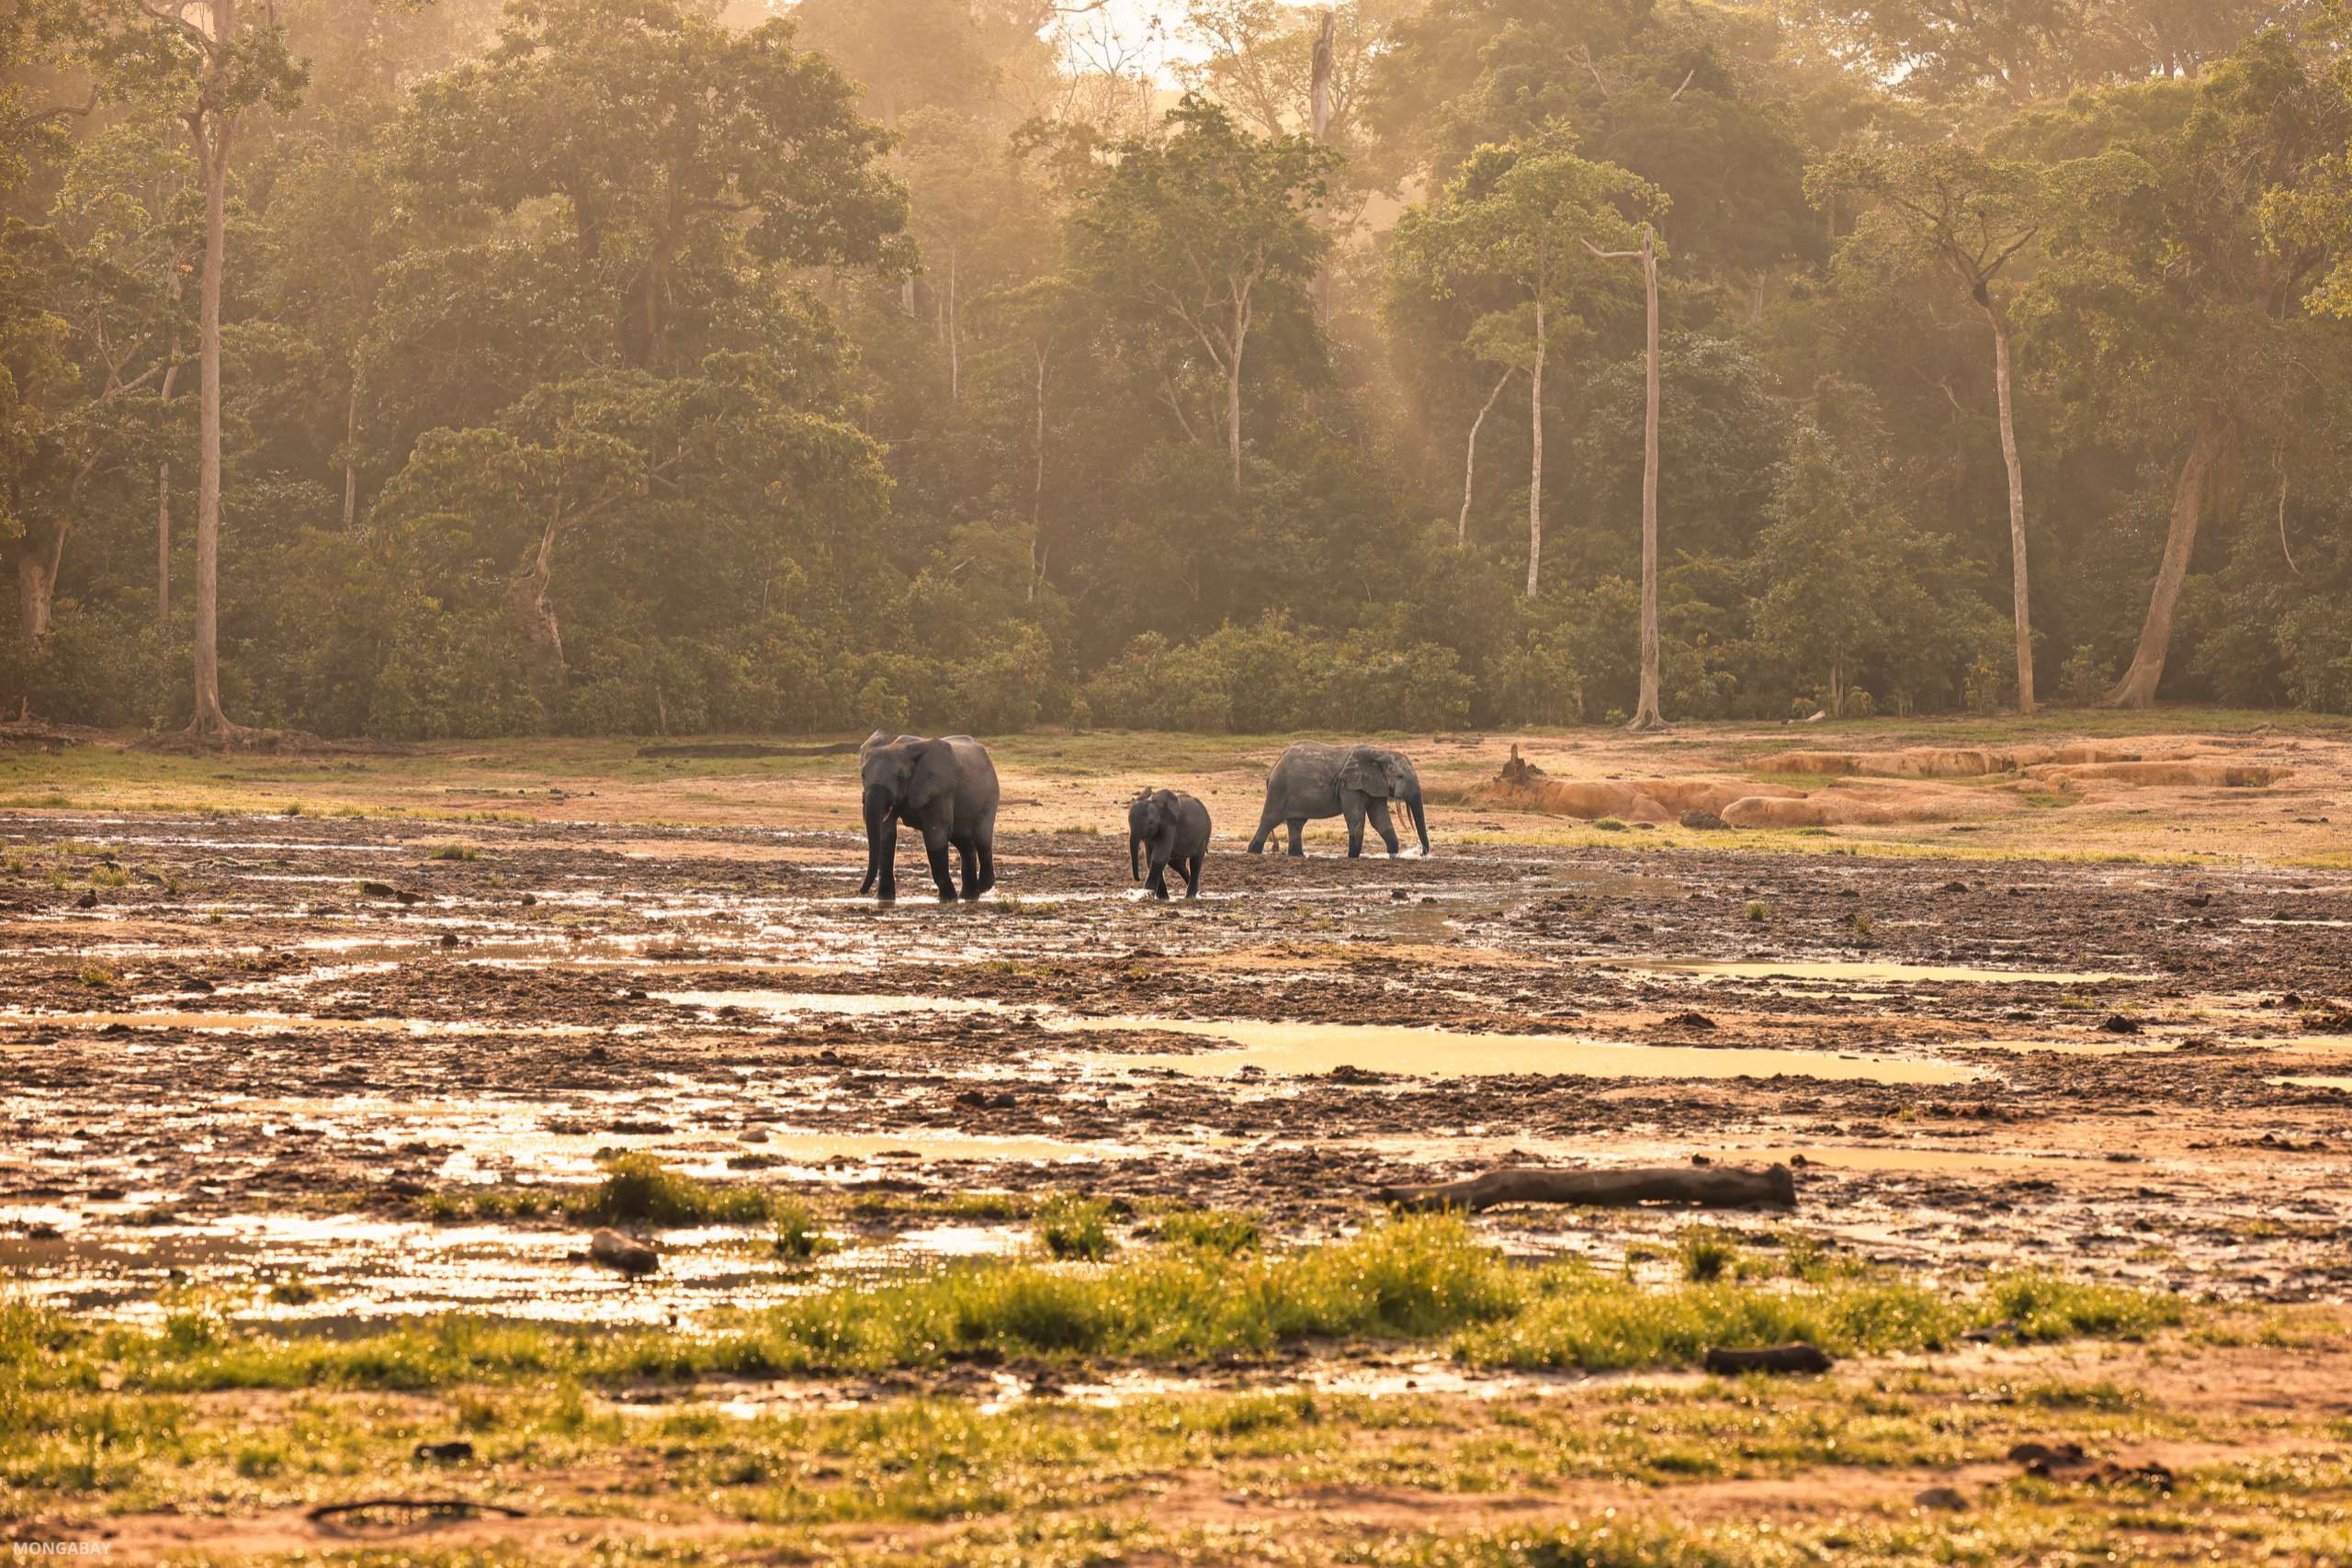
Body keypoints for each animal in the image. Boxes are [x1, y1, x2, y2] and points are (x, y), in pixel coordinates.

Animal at [856, 730, 1000, 902]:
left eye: (899, 777)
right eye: (863, 775)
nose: (861, 891)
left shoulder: (940, 791)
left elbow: (935, 834)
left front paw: (948, 899)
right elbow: (886, 835)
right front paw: (884, 899)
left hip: (991, 794)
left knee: (982, 838)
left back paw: (982, 887)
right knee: (962, 840)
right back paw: (969, 895)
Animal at [1246, 741, 1429, 858]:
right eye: (1400, 776)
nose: (1422, 853)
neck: (1380, 753)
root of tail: (1274, 767)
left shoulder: (1375, 785)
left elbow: (1380, 820)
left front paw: (1392, 854)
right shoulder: (1349, 785)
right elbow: (1355, 818)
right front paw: (1352, 857)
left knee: (1296, 823)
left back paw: (1298, 855)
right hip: (1279, 788)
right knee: (1270, 819)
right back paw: (1253, 852)